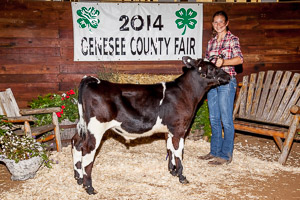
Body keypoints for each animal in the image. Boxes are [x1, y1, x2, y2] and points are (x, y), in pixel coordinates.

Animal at [71, 55, 231, 194]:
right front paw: (182, 176)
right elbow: (179, 152)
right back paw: (89, 187)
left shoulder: (169, 130)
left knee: (76, 143)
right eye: (212, 68)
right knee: (87, 150)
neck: (185, 93)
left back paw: (78, 178)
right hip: (96, 128)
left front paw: (172, 171)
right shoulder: (179, 129)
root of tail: (93, 80)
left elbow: (170, 149)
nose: (228, 76)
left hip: (83, 126)